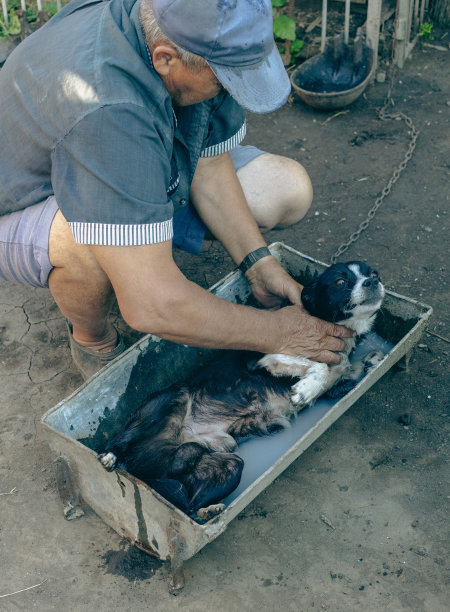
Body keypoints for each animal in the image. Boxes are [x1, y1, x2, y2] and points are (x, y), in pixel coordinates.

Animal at [97, 262, 384, 520]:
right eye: (340, 281)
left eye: (373, 273)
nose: (372, 281)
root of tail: (141, 469)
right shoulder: (263, 359)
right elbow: (319, 366)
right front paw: (305, 389)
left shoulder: (335, 388)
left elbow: (349, 371)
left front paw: (372, 360)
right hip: (170, 399)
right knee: (119, 440)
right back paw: (109, 457)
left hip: (226, 464)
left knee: (188, 501)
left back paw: (206, 508)